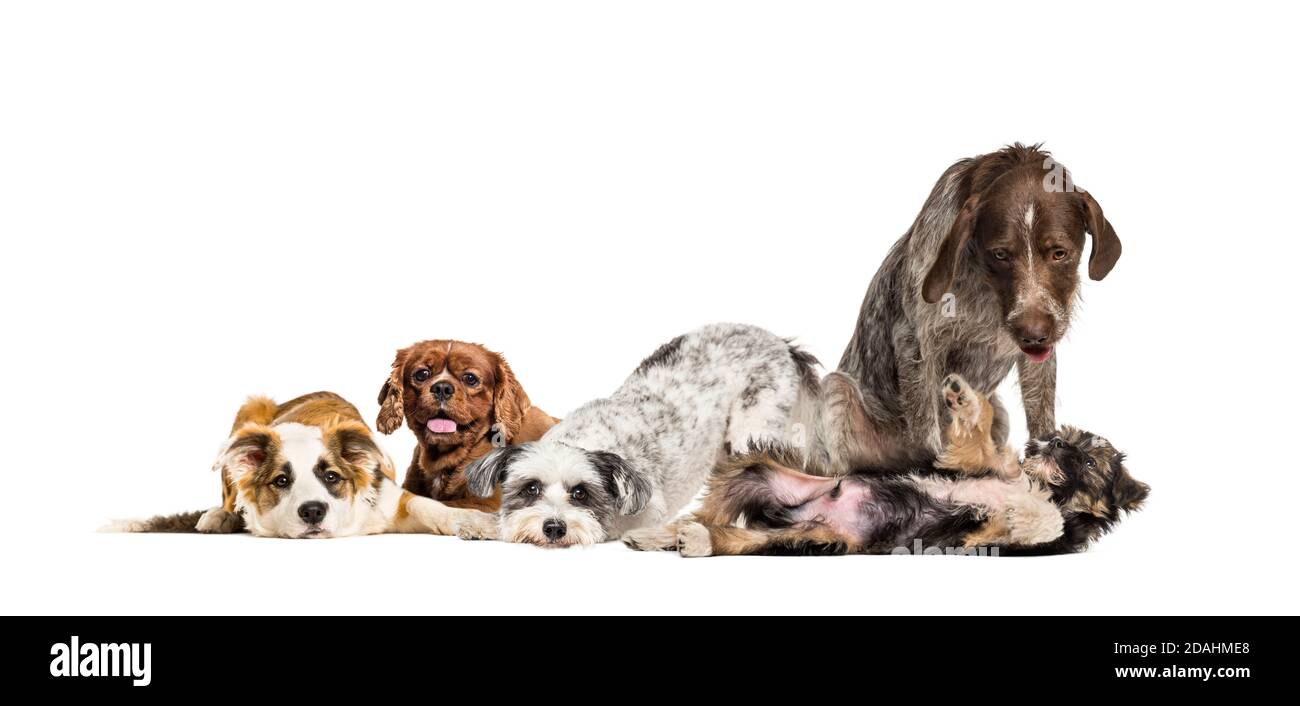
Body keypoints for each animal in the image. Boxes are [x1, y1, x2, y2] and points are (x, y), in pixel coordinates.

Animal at [105, 395, 496, 538]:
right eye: (281, 481)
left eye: (332, 477)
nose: (312, 512)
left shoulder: (387, 496)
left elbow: (426, 505)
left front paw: (473, 521)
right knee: (228, 495)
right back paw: (220, 515)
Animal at [462, 323, 816, 548]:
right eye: (531, 488)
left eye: (580, 493)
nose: (553, 527)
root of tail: (781, 343)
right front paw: (485, 524)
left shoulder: (645, 509)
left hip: (753, 430)